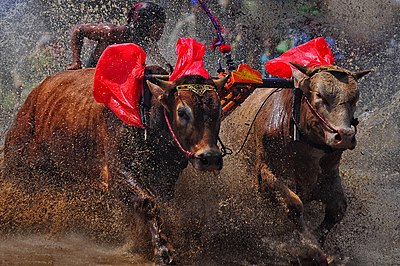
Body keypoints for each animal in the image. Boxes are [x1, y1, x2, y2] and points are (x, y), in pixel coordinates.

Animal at [1, 66, 228, 264]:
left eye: (217, 110)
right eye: (182, 112)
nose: (210, 157)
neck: (146, 115)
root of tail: (34, 95)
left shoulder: (166, 178)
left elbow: (162, 205)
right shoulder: (118, 174)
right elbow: (149, 203)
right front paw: (162, 250)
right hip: (16, 162)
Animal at [252, 64, 370, 245]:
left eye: (354, 99)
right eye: (319, 95)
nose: (345, 136)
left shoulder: (328, 174)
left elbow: (338, 208)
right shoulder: (266, 172)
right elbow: (294, 204)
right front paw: (309, 244)